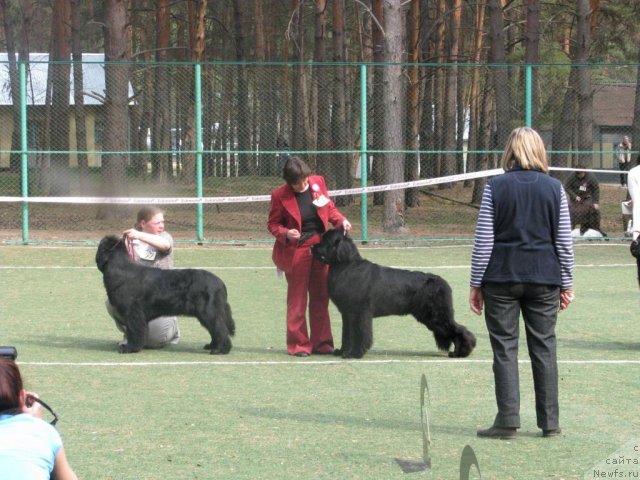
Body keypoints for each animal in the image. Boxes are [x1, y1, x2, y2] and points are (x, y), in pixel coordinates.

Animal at [95, 234, 235, 354]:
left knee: (220, 329)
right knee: (215, 329)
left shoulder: (133, 312)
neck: (121, 270)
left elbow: (134, 330)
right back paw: (212, 346)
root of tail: (220, 283)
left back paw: (220, 350)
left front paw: (129, 348)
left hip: (208, 312)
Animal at [310, 230, 476, 360]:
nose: (311, 247)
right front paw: (342, 351)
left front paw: (354, 353)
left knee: (458, 330)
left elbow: (358, 333)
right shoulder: (347, 313)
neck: (346, 266)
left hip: (435, 315)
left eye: (324, 240)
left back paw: (461, 352)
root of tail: (443, 283)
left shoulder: (358, 313)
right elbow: (346, 334)